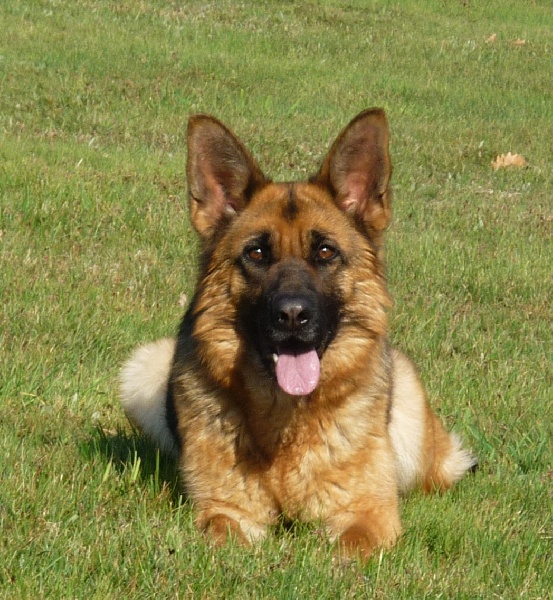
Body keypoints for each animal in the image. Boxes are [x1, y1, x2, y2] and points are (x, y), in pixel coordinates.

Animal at [119, 106, 474, 556]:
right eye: (256, 253)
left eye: (324, 252)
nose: (291, 315)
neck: (286, 420)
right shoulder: (224, 510)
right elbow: (224, 536)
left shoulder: (370, 512)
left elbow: (352, 545)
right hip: (143, 367)